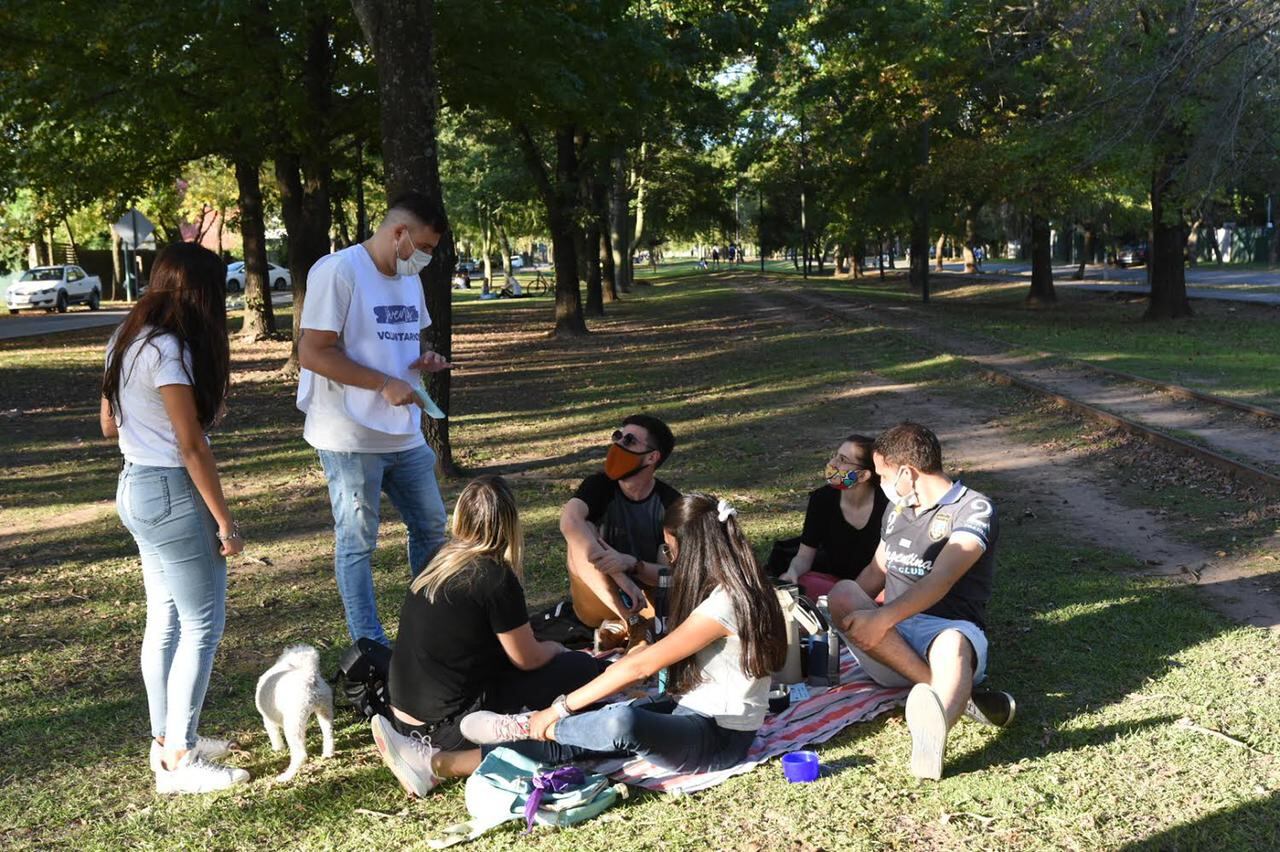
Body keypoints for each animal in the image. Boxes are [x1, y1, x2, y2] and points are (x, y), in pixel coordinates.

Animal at [253, 644, 332, 777]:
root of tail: (310, 676)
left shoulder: (268, 719)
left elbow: (274, 735)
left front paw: (278, 749)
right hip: (325, 711)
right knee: (329, 736)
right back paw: (328, 754)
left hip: (294, 721)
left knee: (301, 754)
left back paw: (286, 776)